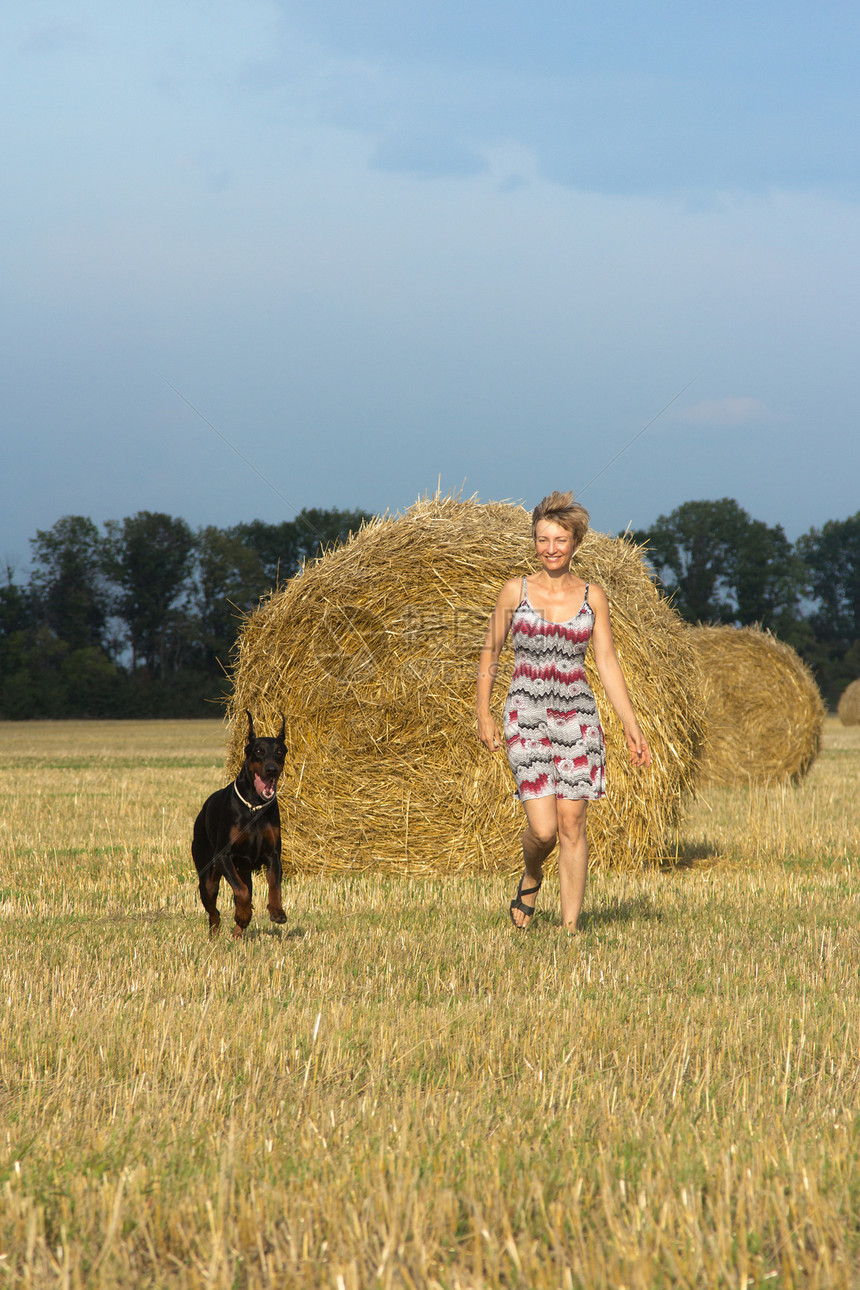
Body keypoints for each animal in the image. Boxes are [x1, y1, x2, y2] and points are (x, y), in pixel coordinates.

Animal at [192, 717, 288, 939]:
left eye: (280, 751)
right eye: (259, 750)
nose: (272, 769)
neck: (254, 806)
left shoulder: (273, 854)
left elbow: (274, 886)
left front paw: (277, 911)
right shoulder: (224, 856)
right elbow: (241, 893)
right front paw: (243, 915)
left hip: (243, 871)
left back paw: (238, 931)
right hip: (208, 877)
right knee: (215, 911)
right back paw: (217, 933)